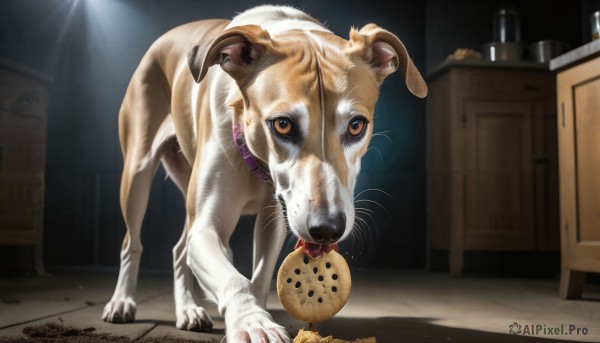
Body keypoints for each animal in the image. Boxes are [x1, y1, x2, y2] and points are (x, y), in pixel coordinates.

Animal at [101, 5, 424, 343]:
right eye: (282, 124)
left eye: (356, 125)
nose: (327, 229)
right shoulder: (206, 227)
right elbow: (234, 278)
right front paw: (253, 322)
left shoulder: (275, 222)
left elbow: (259, 276)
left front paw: (254, 313)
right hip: (136, 174)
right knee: (132, 242)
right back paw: (122, 302)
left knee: (179, 250)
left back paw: (188, 310)